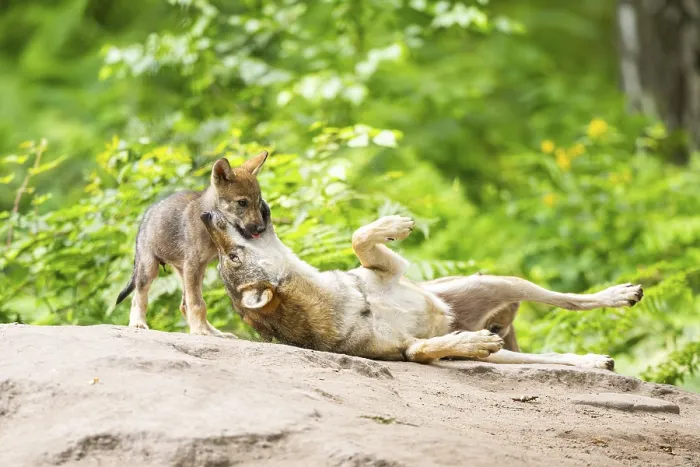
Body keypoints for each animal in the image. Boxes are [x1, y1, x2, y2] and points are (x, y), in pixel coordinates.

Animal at [115, 151, 269, 337]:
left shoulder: (199, 267)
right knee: (138, 298)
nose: (261, 228)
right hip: (149, 269)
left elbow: (198, 303)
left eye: (258, 202)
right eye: (242, 203)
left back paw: (216, 332)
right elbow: (197, 303)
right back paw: (138, 323)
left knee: (183, 305)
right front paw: (199, 331)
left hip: (185, 272)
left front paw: (203, 331)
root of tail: (147, 216)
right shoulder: (193, 265)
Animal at [199, 210, 643, 366]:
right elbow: (422, 349)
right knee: (551, 355)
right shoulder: (405, 350)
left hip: (504, 281)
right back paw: (593, 360)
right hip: (504, 343)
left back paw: (621, 294)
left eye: (227, 257)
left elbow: (359, 236)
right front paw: (468, 342)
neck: (346, 302)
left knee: (572, 301)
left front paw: (394, 223)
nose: (206, 216)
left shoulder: (390, 267)